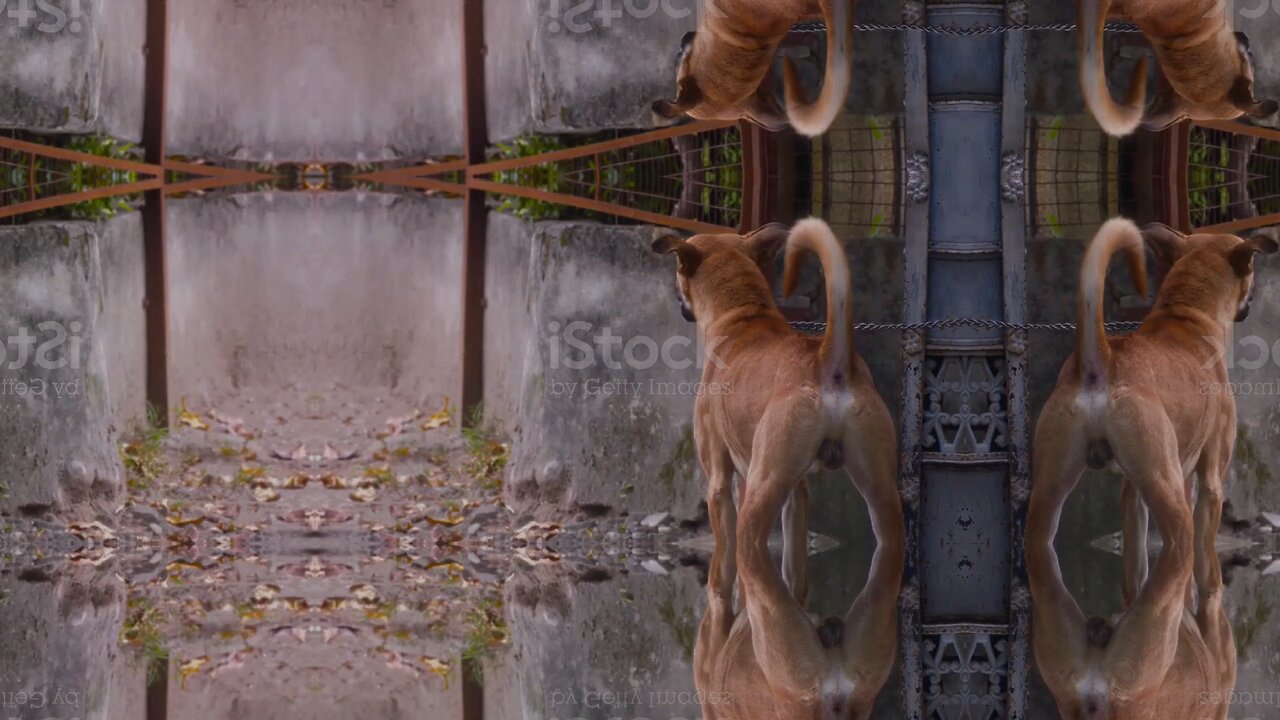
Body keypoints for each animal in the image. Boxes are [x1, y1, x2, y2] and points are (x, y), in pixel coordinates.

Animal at [660, 219, 901, 717]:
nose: (677, 301)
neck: (743, 316)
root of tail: (827, 361)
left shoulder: (721, 481)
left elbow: (720, 564)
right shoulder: (799, 493)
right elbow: (794, 550)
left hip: (759, 496)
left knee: (748, 551)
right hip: (878, 488)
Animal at [1034, 215, 1274, 712]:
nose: (1248, 305)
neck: (1186, 316)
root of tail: (1102, 362)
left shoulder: (1132, 492)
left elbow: (1135, 550)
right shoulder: (1208, 479)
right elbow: (1209, 559)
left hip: (1050, 490)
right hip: (1172, 499)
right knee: (1183, 553)